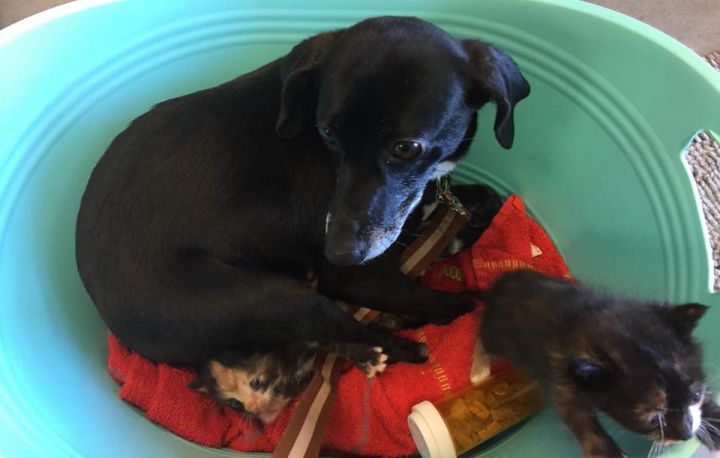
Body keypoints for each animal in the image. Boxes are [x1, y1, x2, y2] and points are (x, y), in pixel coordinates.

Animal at [76, 16, 528, 370]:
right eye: (327, 133)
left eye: (406, 147)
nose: (338, 252)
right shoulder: (356, 277)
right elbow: (445, 302)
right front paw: (474, 302)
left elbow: (481, 198)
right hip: (268, 297)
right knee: (344, 326)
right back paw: (396, 347)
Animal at [478, 270, 720, 456]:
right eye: (653, 419)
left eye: (695, 396)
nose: (686, 434)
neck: (589, 319)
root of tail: (491, 294)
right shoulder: (564, 382)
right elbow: (579, 419)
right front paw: (607, 452)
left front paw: (715, 422)